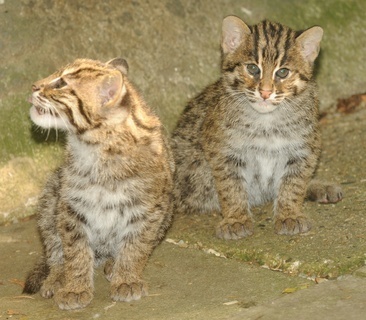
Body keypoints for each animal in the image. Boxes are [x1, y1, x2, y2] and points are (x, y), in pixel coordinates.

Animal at [22, 58, 174, 310]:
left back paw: (113, 264)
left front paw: (127, 278)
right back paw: (57, 276)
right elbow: (75, 251)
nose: (34, 86)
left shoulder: (148, 209)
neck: (95, 147)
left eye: (61, 83)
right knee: (54, 248)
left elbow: (136, 245)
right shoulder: (71, 206)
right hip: (50, 195)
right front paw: (75, 287)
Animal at [172, 16, 344, 239]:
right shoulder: (223, 152)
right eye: (253, 69)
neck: (267, 121)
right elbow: (231, 187)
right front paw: (236, 218)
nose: (265, 92)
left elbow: (294, 183)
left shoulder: (304, 148)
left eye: (283, 72)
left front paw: (289, 213)